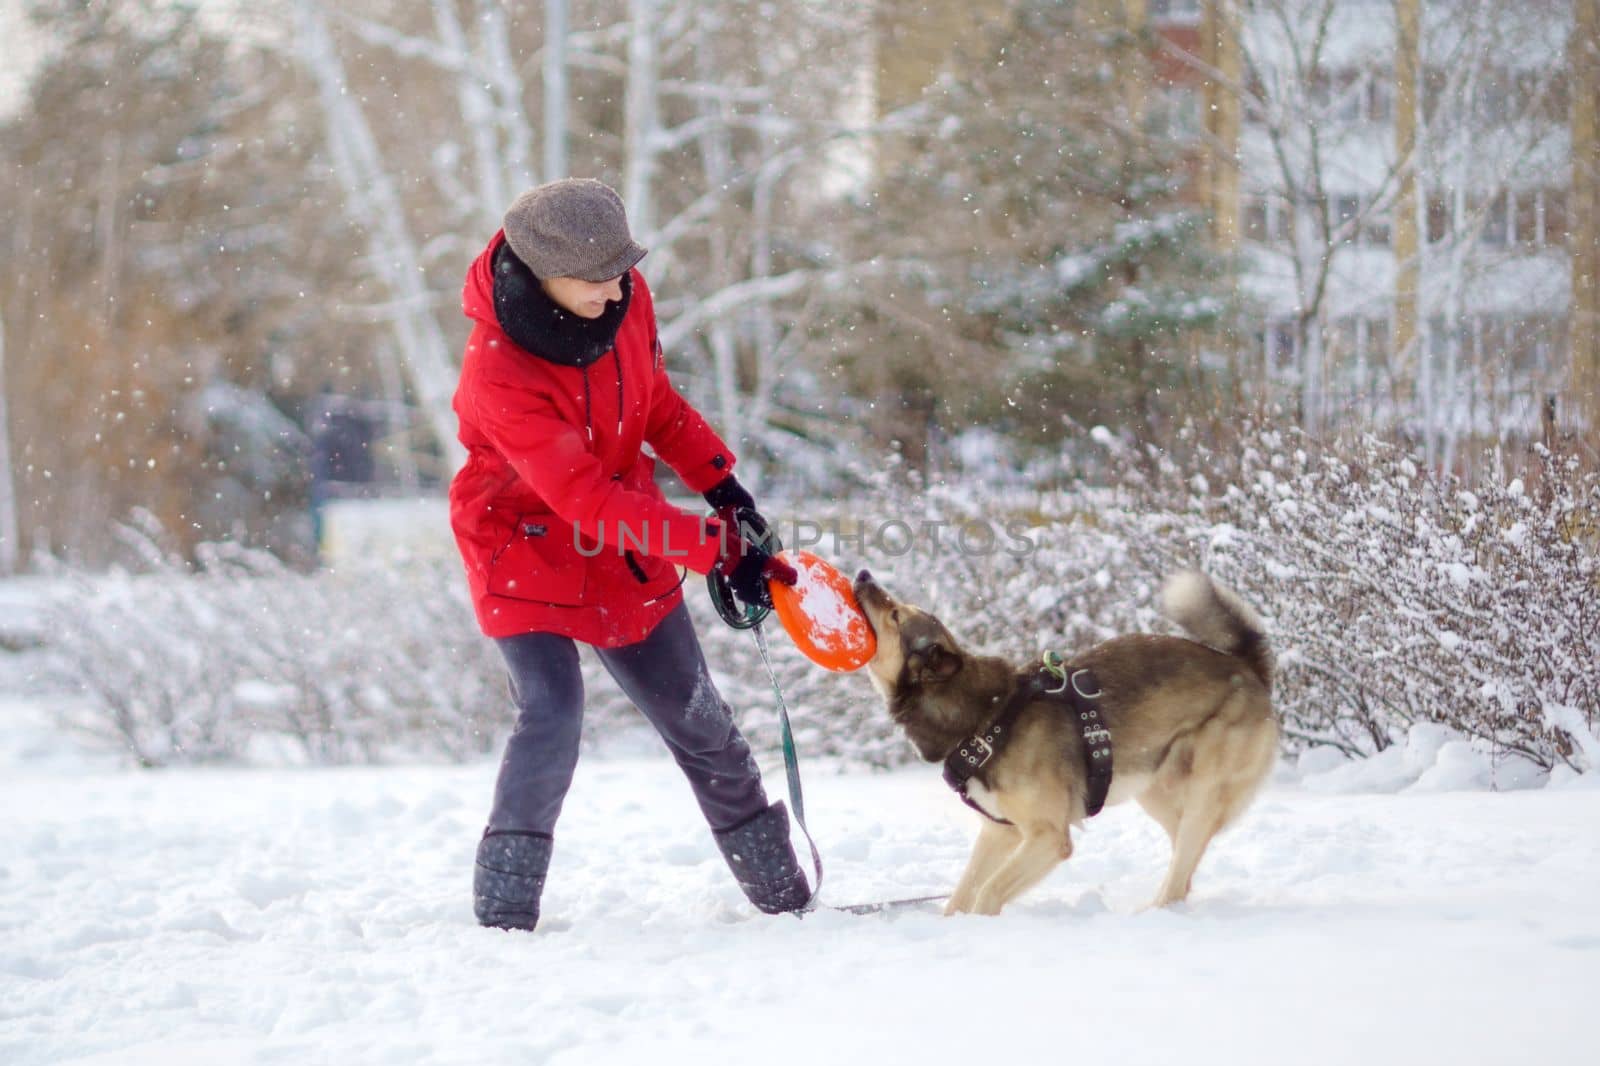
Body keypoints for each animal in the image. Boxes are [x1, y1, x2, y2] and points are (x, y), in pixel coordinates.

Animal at [857, 563, 1280, 915]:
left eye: (896, 614)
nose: (862, 575)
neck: (983, 718)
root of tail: (1247, 667)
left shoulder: (1047, 837)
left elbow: (987, 893)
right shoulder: (1000, 832)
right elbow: (961, 896)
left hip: (1201, 789)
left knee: (1183, 864)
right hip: (1157, 788)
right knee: (1185, 864)